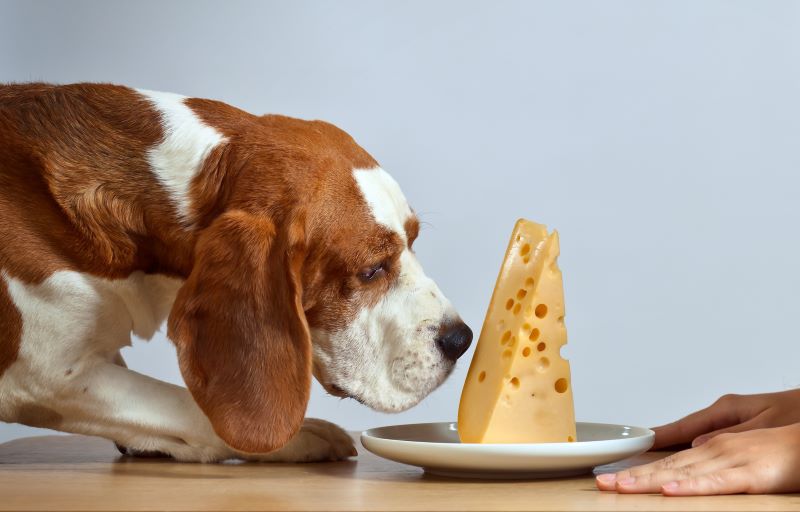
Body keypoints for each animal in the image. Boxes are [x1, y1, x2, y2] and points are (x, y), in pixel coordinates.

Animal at [0, 83, 472, 460]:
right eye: (372, 269)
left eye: (413, 239)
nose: (461, 340)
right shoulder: (44, 374)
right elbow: (183, 405)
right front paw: (300, 437)